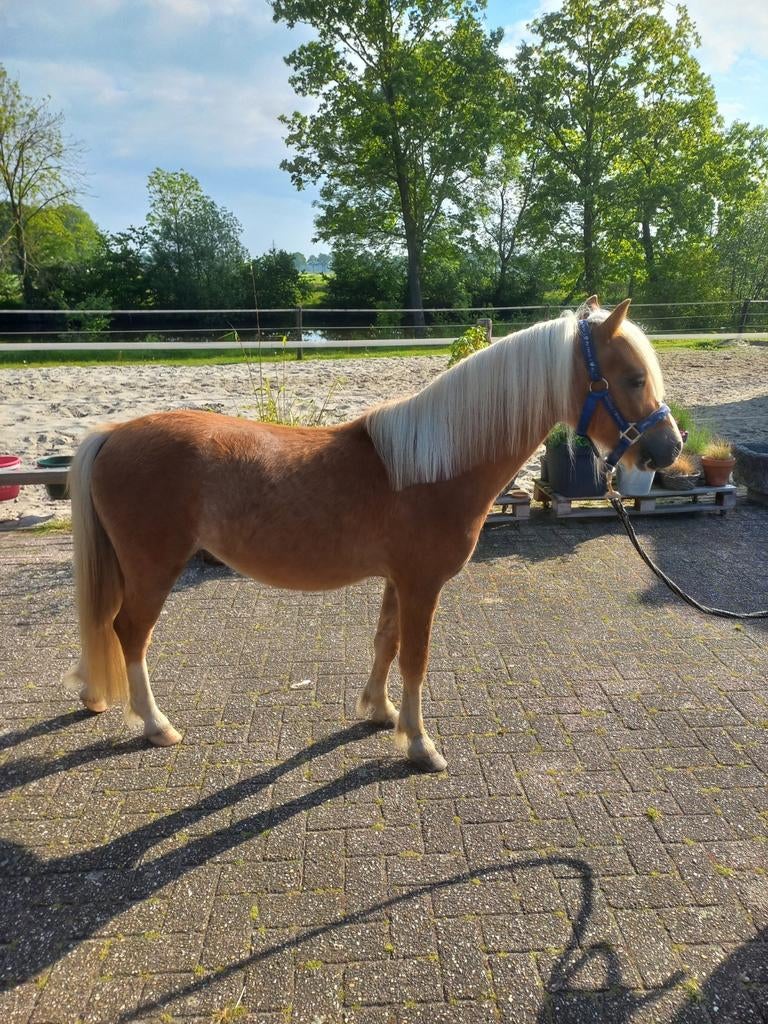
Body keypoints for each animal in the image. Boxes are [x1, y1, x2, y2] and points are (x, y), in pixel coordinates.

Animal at [64, 297, 682, 772]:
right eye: (631, 377)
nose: (669, 450)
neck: (434, 466)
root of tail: (113, 433)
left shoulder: (396, 580)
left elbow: (385, 642)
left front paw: (381, 713)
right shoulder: (422, 585)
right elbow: (415, 658)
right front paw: (420, 745)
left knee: (106, 624)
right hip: (153, 568)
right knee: (130, 633)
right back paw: (156, 725)